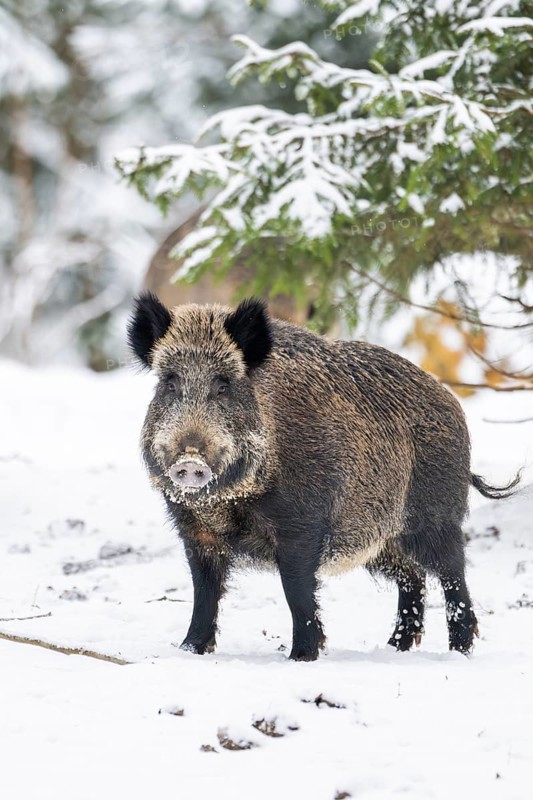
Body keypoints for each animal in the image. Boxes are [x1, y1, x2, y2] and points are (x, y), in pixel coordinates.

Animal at [128, 293, 518, 660]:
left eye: (223, 385)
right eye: (169, 383)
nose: (189, 460)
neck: (228, 502)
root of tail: (451, 402)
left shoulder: (302, 524)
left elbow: (296, 589)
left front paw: (302, 655)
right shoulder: (196, 532)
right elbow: (204, 592)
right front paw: (189, 650)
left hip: (436, 517)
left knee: (453, 576)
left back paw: (458, 652)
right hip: (378, 541)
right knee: (412, 576)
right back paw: (395, 647)